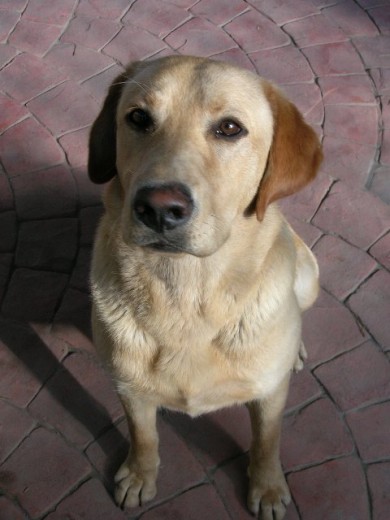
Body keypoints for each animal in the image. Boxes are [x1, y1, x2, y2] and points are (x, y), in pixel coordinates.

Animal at [88, 54, 322, 516]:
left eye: (229, 128)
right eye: (138, 118)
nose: (158, 208)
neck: (188, 295)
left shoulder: (269, 396)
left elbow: (267, 441)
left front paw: (268, 487)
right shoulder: (130, 389)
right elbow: (144, 436)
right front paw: (140, 474)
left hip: (307, 277)